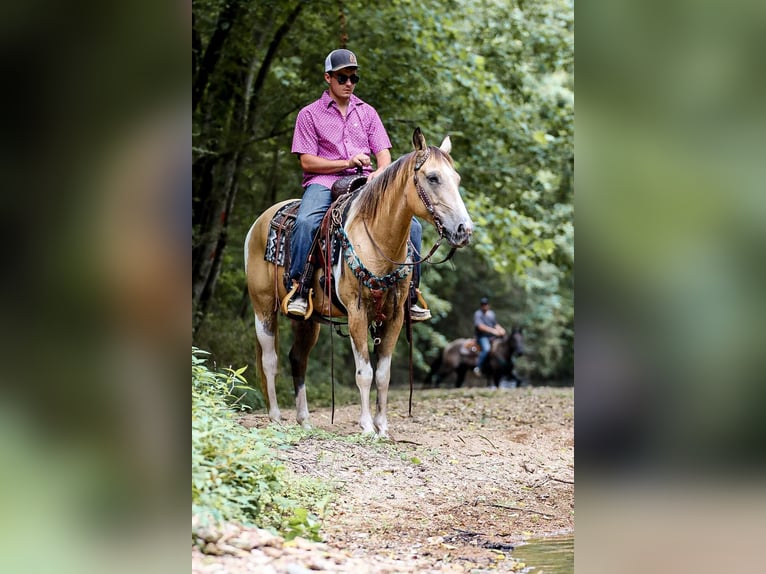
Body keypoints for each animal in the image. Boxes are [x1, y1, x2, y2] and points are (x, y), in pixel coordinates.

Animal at [246, 128, 474, 438]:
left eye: (457, 179)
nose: (464, 230)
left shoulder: (395, 316)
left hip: (308, 320)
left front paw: (383, 427)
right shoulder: (357, 313)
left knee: (297, 358)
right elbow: (364, 373)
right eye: (433, 177)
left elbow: (383, 374)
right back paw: (276, 417)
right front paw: (366, 426)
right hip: (263, 308)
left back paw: (304, 420)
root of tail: (260, 222)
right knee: (270, 361)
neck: (377, 240)